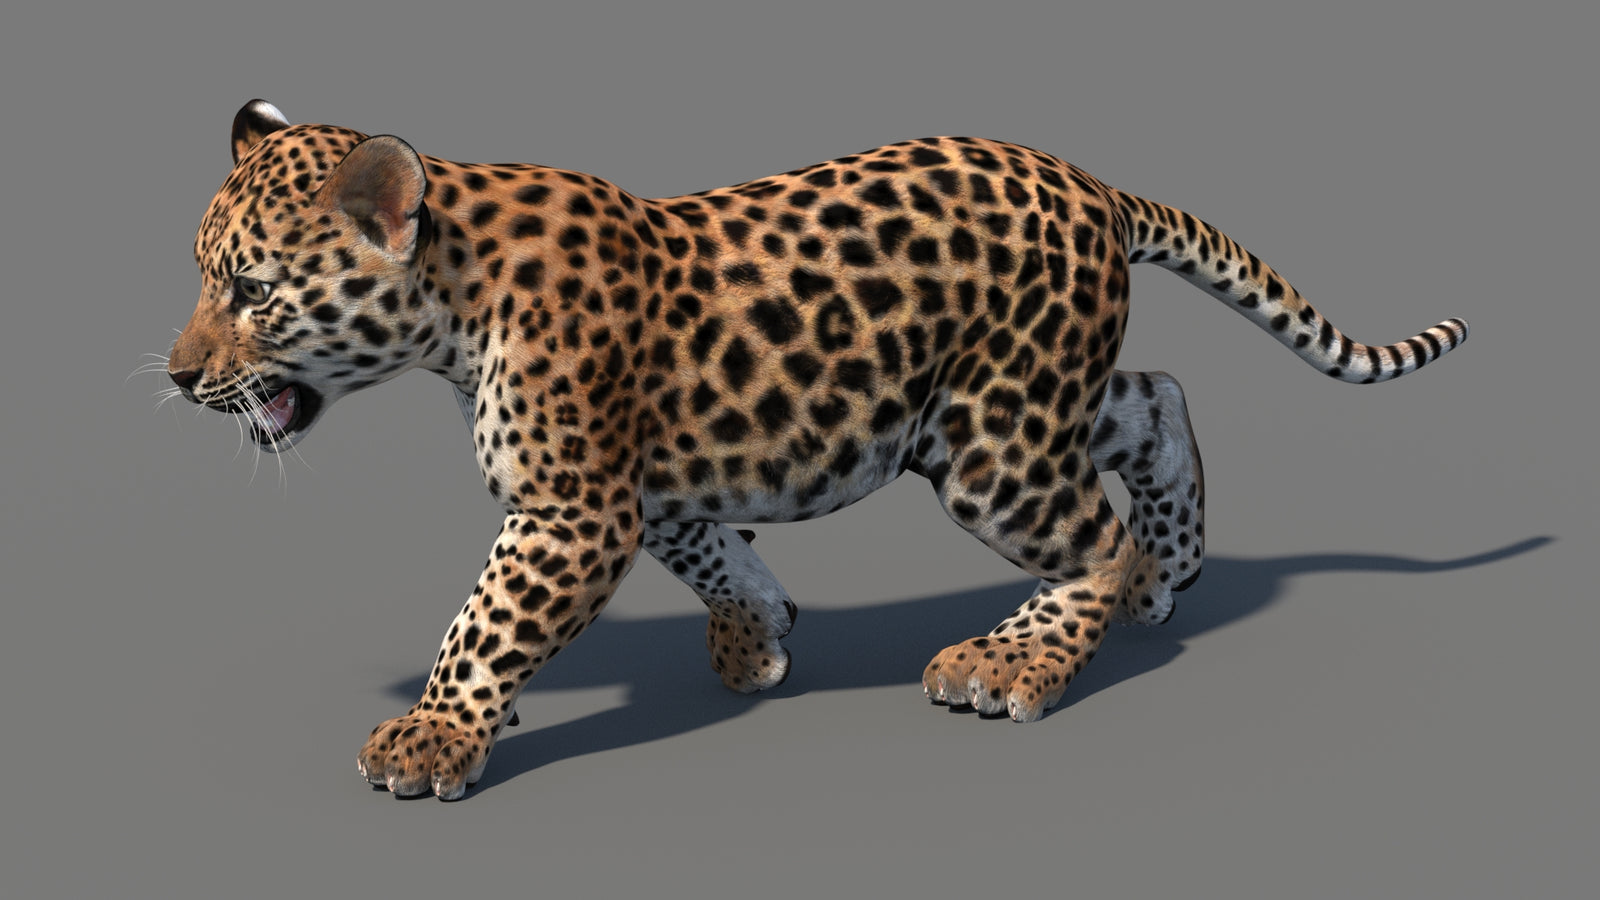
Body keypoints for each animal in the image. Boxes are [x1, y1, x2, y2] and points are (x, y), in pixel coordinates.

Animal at [165, 100, 1468, 800]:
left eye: (250, 291)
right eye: (203, 278)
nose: (178, 377)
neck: (451, 296)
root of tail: (1093, 184)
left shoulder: (573, 506)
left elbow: (485, 619)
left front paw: (433, 735)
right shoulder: (652, 478)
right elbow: (709, 548)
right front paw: (759, 636)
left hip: (995, 444)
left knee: (1086, 532)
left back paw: (1017, 663)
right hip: (1012, 400)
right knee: (1156, 395)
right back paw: (1170, 568)